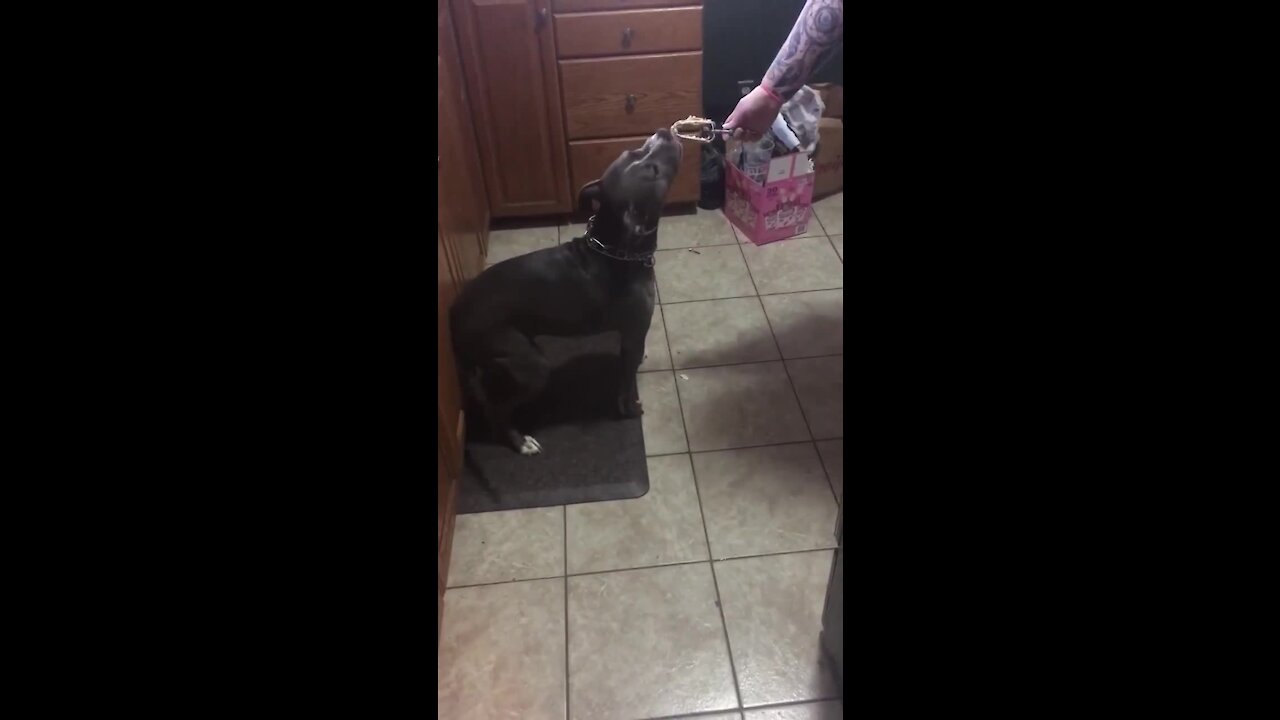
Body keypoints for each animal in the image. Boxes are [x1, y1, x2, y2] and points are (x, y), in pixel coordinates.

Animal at [453, 127, 686, 453]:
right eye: (652, 170)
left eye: (633, 150)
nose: (663, 132)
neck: (615, 247)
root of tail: (454, 313)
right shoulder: (632, 335)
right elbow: (626, 384)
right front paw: (630, 410)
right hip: (530, 364)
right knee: (498, 409)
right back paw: (520, 442)